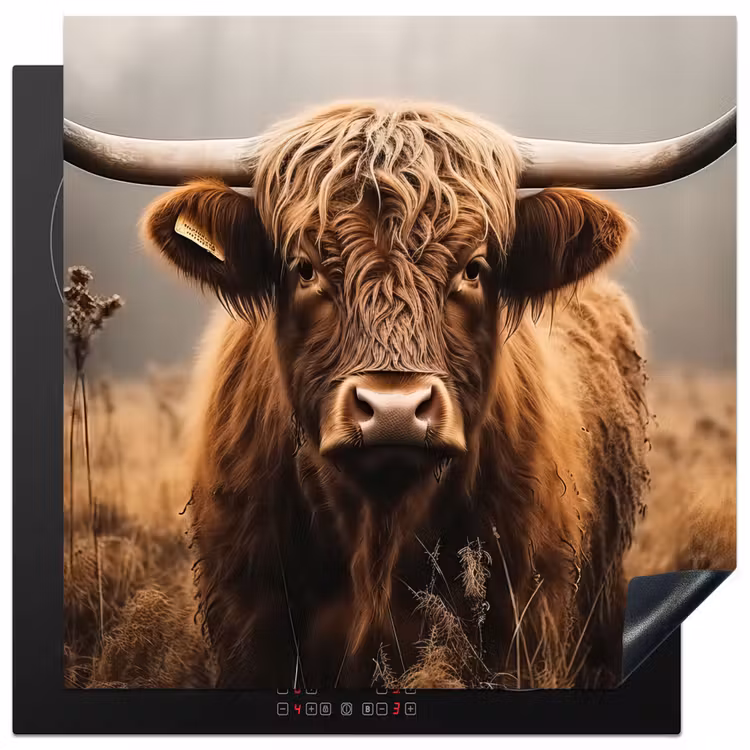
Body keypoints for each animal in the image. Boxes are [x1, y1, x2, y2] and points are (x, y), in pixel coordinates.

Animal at [64, 101, 736, 689]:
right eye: (304, 268)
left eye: (474, 268)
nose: (393, 411)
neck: (376, 534)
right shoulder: (249, 624)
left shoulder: (524, 625)